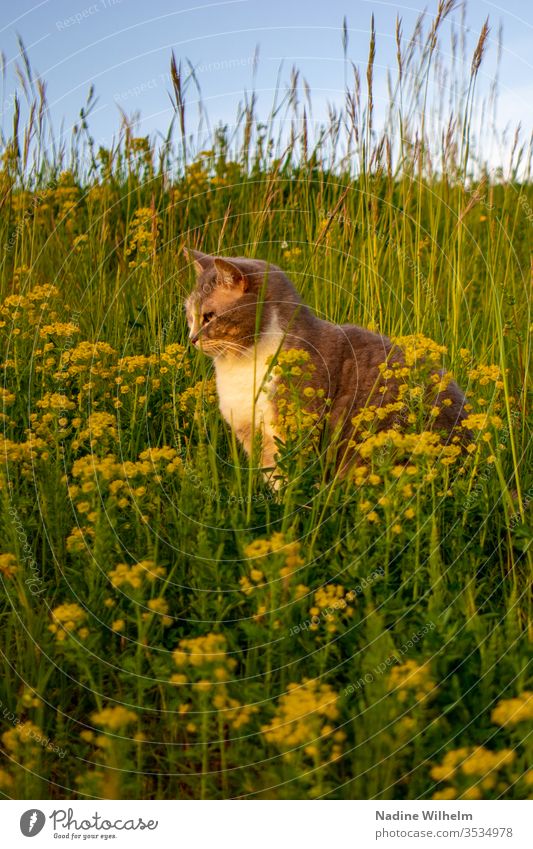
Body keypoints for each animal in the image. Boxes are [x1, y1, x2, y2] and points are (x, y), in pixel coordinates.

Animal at [183, 247, 466, 484]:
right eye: (189, 316)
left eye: (209, 316)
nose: (191, 338)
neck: (239, 366)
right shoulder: (251, 434)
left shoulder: (291, 428)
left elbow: (286, 478)